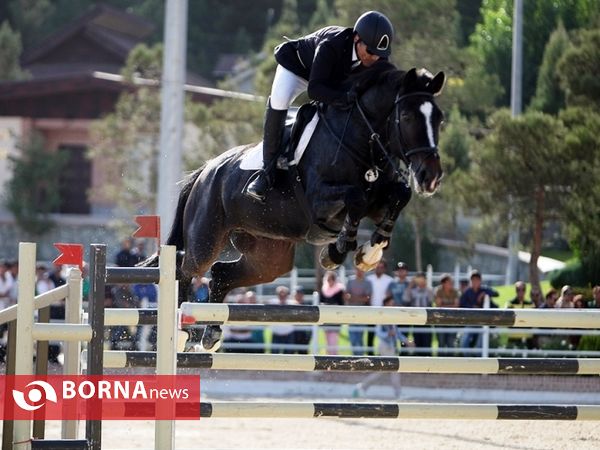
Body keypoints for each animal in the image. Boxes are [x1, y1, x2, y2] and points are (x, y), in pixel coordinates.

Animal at [150, 61, 446, 354]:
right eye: (406, 117)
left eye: (439, 119)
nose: (430, 177)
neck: (360, 141)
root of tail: (205, 170)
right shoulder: (320, 201)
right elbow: (356, 198)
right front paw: (336, 251)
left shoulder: (379, 199)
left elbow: (401, 195)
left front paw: (369, 252)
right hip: (206, 239)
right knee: (184, 269)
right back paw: (183, 333)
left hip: (269, 257)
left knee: (222, 273)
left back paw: (211, 334)